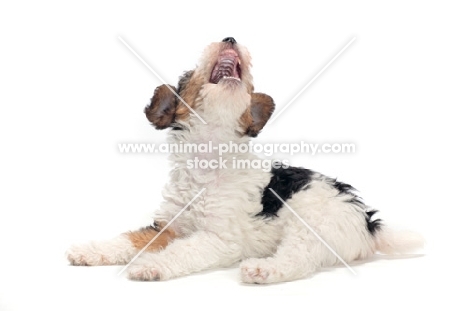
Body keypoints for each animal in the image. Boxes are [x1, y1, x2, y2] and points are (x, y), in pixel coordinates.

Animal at [66, 37, 424, 286]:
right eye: (188, 75)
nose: (229, 38)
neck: (209, 158)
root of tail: (368, 221)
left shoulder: (219, 240)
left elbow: (182, 251)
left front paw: (149, 266)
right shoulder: (167, 226)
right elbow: (130, 238)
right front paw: (88, 250)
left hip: (313, 222)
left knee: (299, 258)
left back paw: (262, 269)